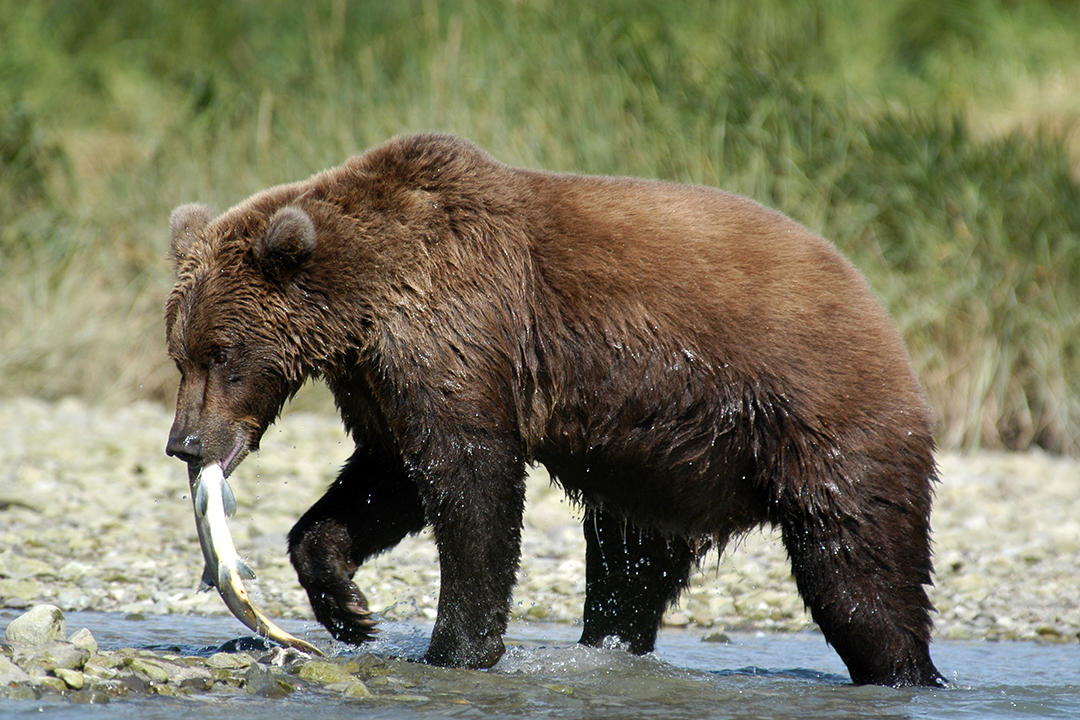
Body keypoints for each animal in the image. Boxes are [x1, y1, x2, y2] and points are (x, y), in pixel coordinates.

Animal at [164, 133, 943, 687]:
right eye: (180, 354)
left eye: (224, 356)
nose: (186, 444)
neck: (364, 301)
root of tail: (875, 304)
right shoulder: (378, 377)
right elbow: (386, 479)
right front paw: (349, 608)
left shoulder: (462, 328)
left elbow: (469, 483)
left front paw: (456, 649)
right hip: (662, 465)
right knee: (630, 569)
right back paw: (609, 646)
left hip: (819, 421)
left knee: (858, 571)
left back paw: (906, 671)